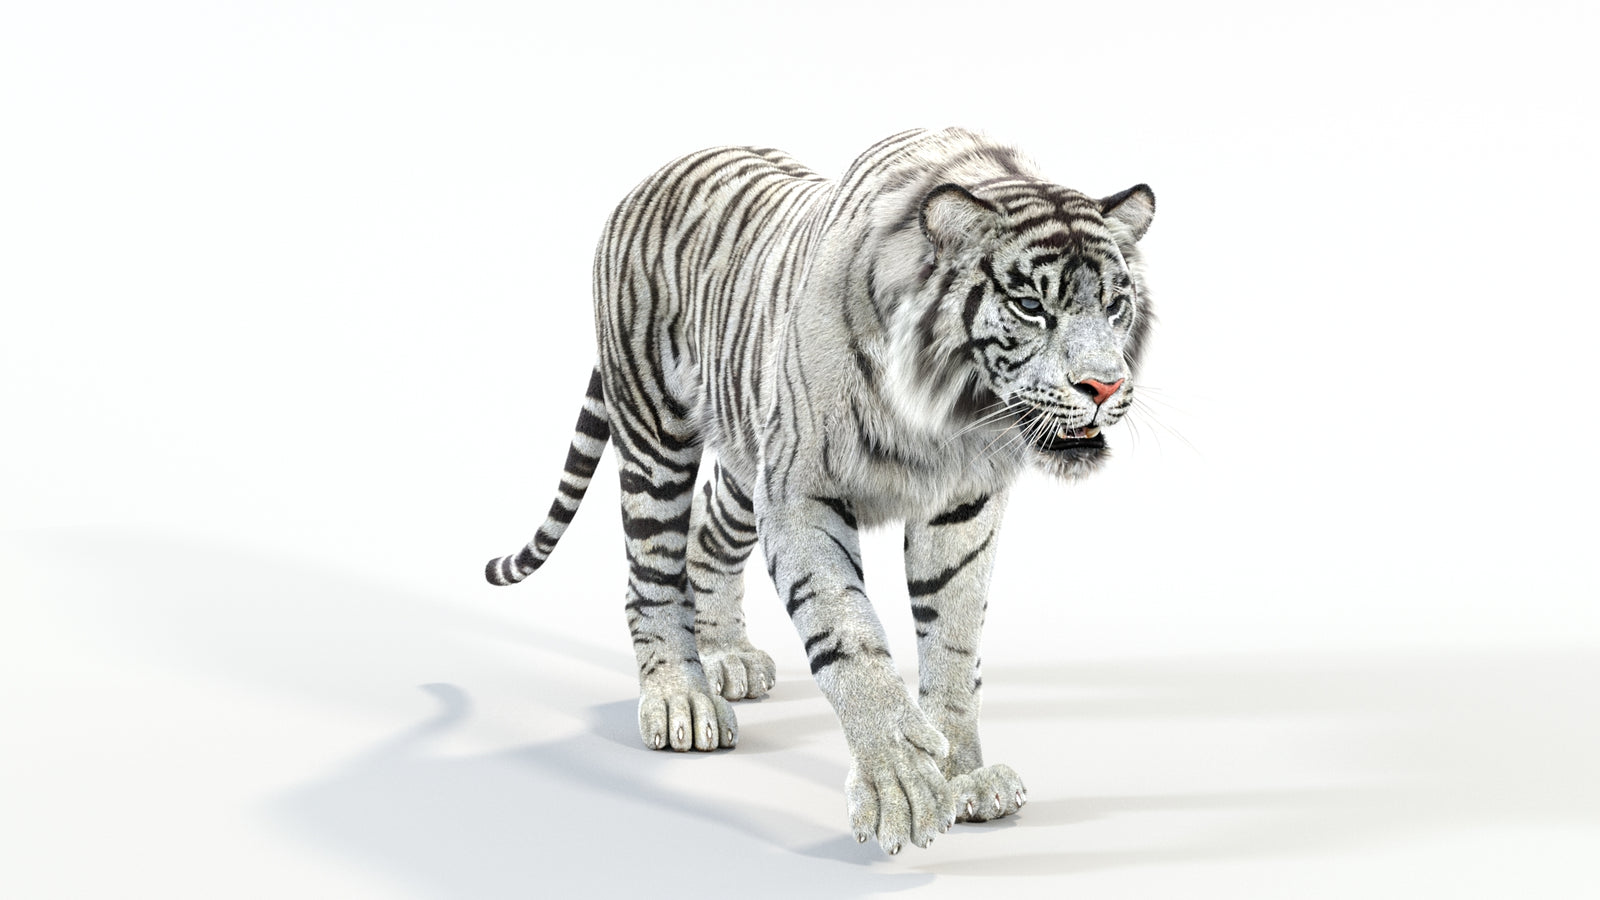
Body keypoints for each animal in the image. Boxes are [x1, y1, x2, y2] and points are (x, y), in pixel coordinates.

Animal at [485, 127, 1155, 854]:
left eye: (1115, 305)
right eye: (1031, 306)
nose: (1105, 386)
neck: (947, 412)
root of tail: (655, 174)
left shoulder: (961, 504)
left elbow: (953, 639)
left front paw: (964, 774)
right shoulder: (801, 492)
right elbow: (848, 632)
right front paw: (899, 785)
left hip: (745, 459)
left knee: (706, 538)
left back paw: (726, 656)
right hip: (654, 428)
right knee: (652, 569)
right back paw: (680, 698)